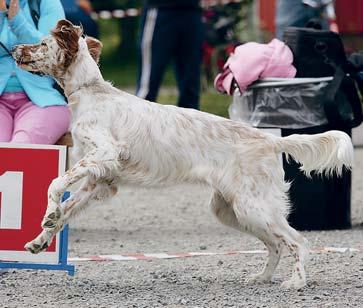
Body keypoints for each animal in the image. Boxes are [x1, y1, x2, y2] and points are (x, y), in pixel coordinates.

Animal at [12, 20, 354, 290]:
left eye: (42, 44)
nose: (14, 48)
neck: (90, 91)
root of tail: (268, 140)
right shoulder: (102, 181)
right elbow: (66, 211)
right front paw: (39, 240)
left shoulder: (105, 153)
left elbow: (56, 184)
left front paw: (48, 214)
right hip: (232, 209)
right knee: (275, 245)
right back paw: (261, 278)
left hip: (254, 206)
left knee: (297, 241)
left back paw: (297, 281)